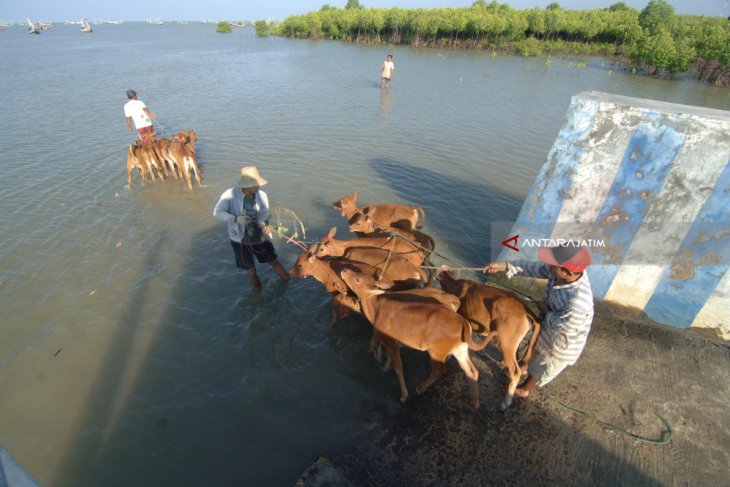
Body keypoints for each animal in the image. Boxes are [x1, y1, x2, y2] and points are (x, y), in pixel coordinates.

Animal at [340, 268, 486, 410]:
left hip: (436, 352)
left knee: (440, 370)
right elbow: (388, 358)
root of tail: (462, 321)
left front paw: (404, 396)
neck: (375, 307)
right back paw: (475, 404)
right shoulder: (391, 342)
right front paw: (385, 368)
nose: (344, 270)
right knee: (472, 372)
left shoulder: (388, 340)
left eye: (358, 279)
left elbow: (397, 367)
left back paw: (420, 389)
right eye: (360, 274)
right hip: (460, 351)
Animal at [436, 270, 536, 412]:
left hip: (506, 344)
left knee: (515, 371)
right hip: (513, 346)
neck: (455, 285)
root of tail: (524, 309)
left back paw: (505, 403)